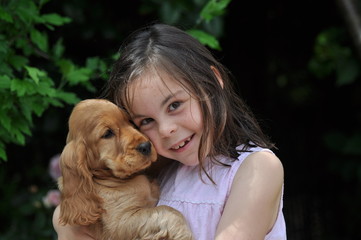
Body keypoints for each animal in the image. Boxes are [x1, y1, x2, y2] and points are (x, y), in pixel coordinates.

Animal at [57, 99, 193, 240]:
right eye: (107, 134)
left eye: (129, 121)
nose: (146, 146)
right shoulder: (119, 223)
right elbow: (167, 210)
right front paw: (184, 233)